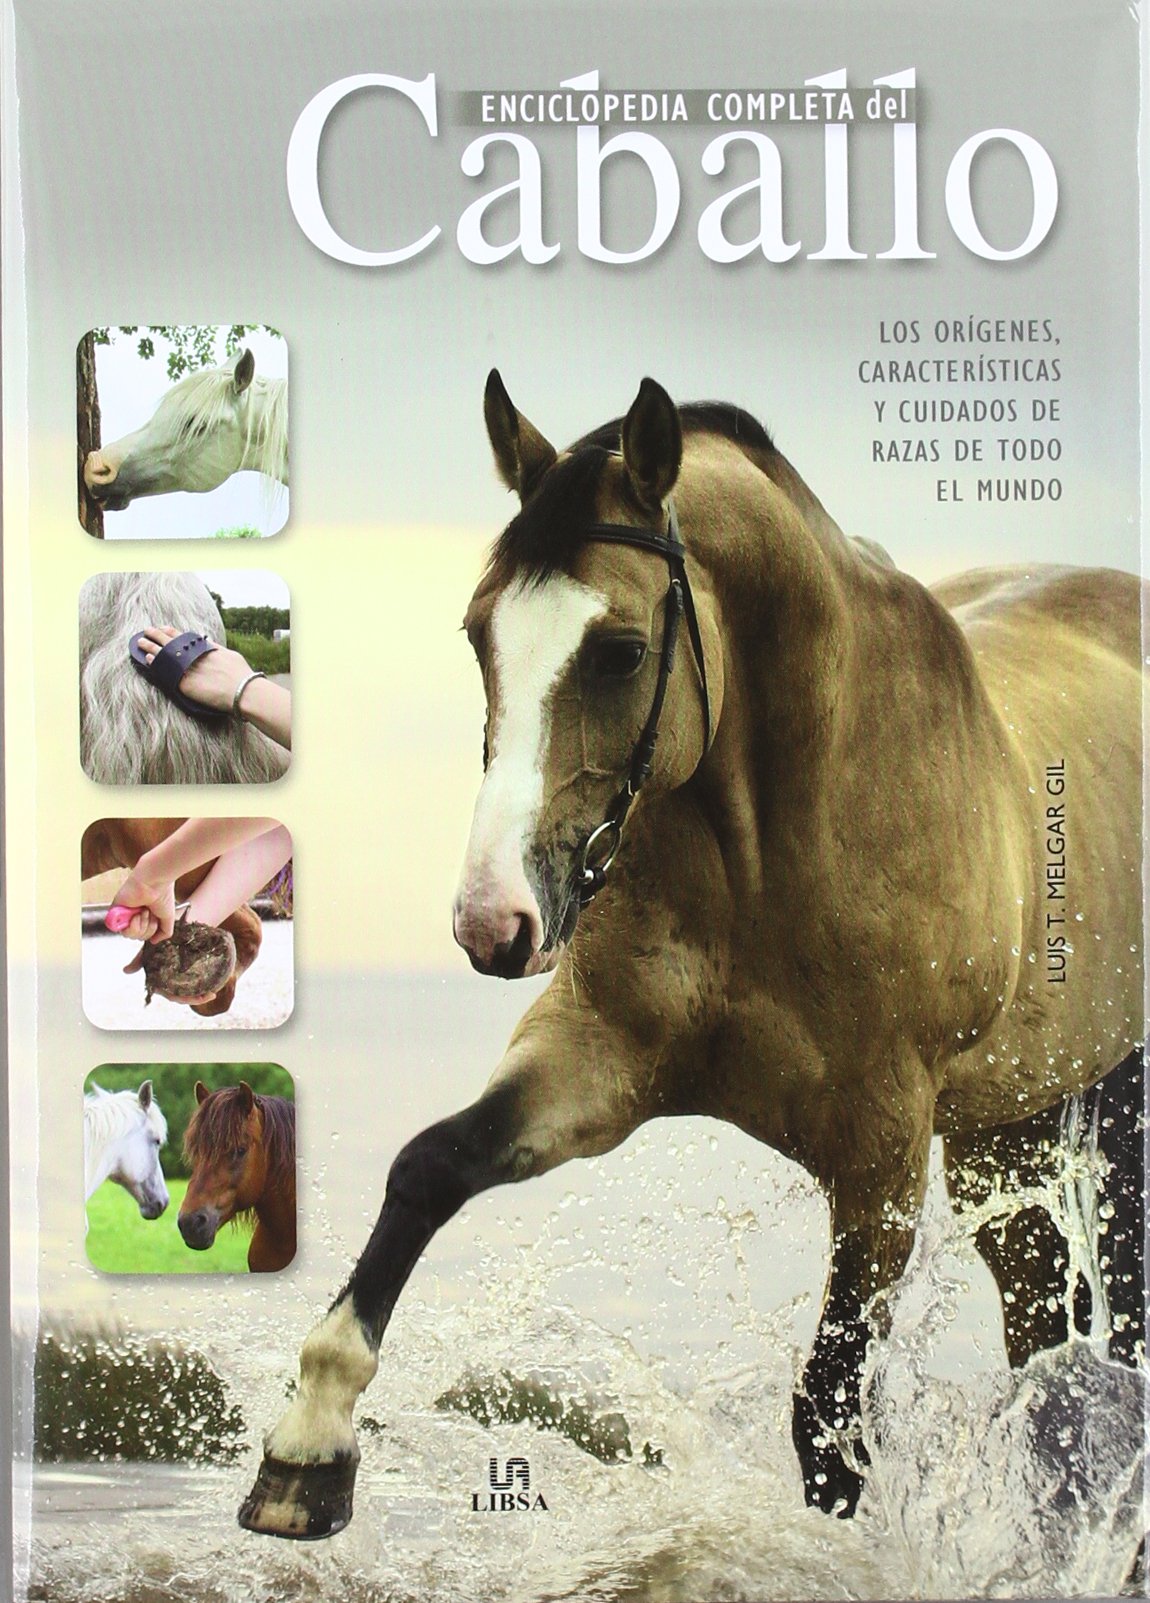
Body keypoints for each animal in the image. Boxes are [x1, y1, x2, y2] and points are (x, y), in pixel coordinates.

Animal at [239, 373, 1143, 1543]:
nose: (494, 923)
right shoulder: (596, 1057)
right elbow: (430, 1167)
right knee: (1048, 1332)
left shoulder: (884, 1154)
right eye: (481, 634)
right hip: (1011, 1131)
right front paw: (308, 1444)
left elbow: (828, 1412)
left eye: (620, 650)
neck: (779, 857)